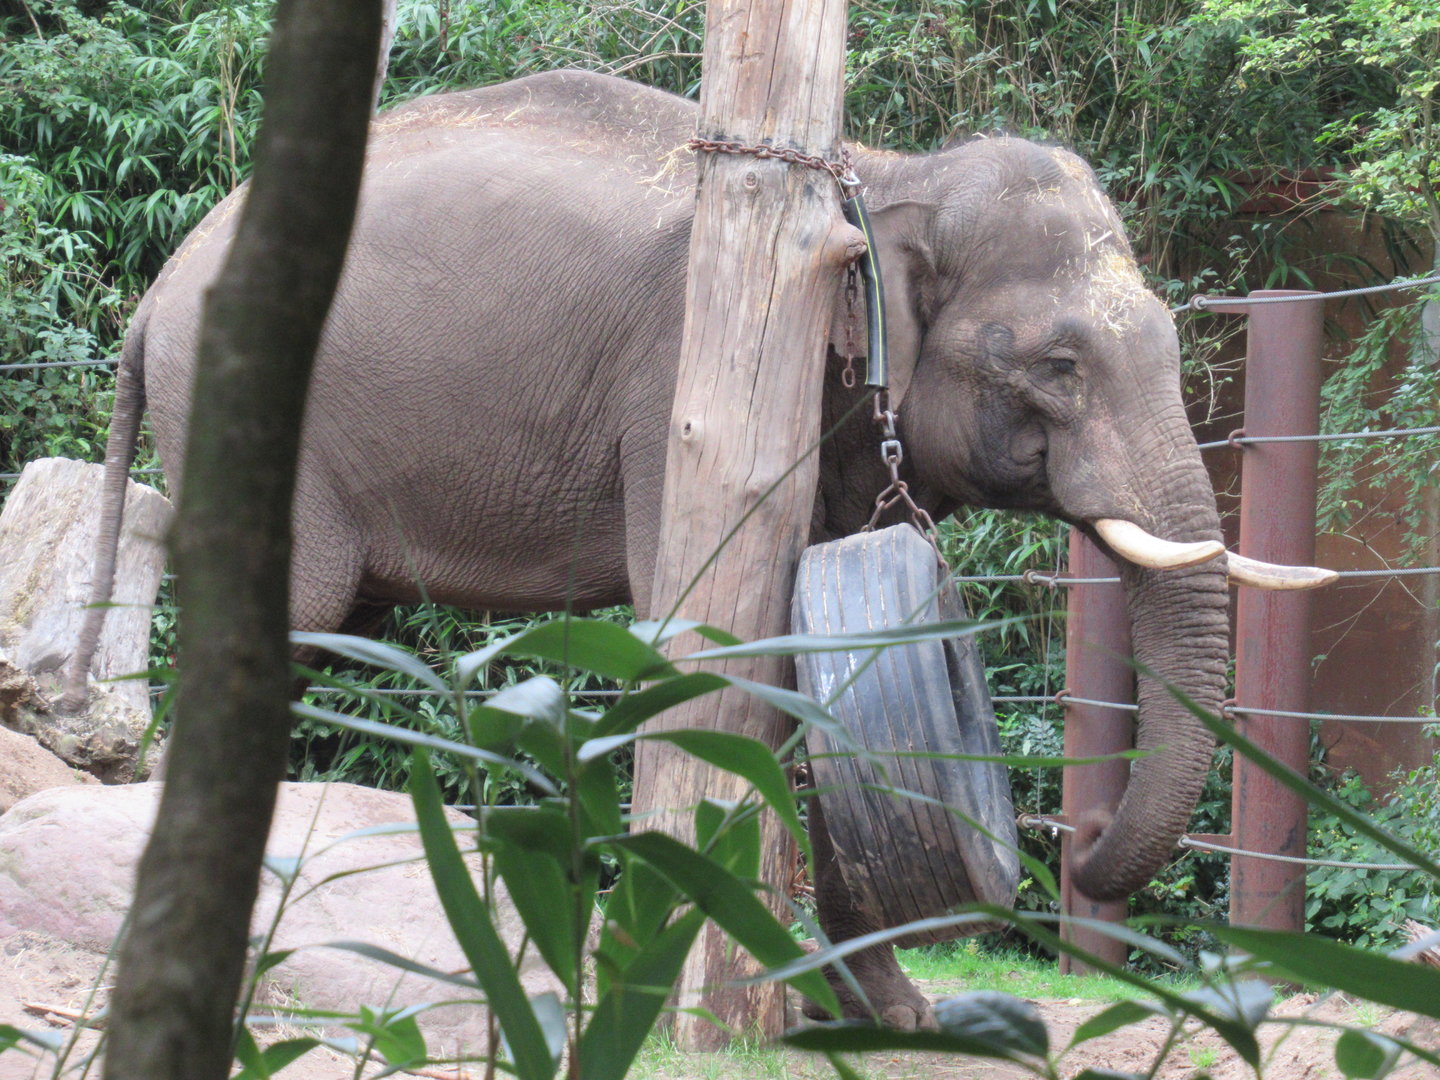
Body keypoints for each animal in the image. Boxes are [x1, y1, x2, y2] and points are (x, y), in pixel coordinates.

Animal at [68, 70, 1318, 1029]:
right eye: (1059, 366)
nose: (1085, 845)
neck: (874, 176)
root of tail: (160, 292)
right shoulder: (674, 392)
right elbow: (733, 652)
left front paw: (894, 1014)